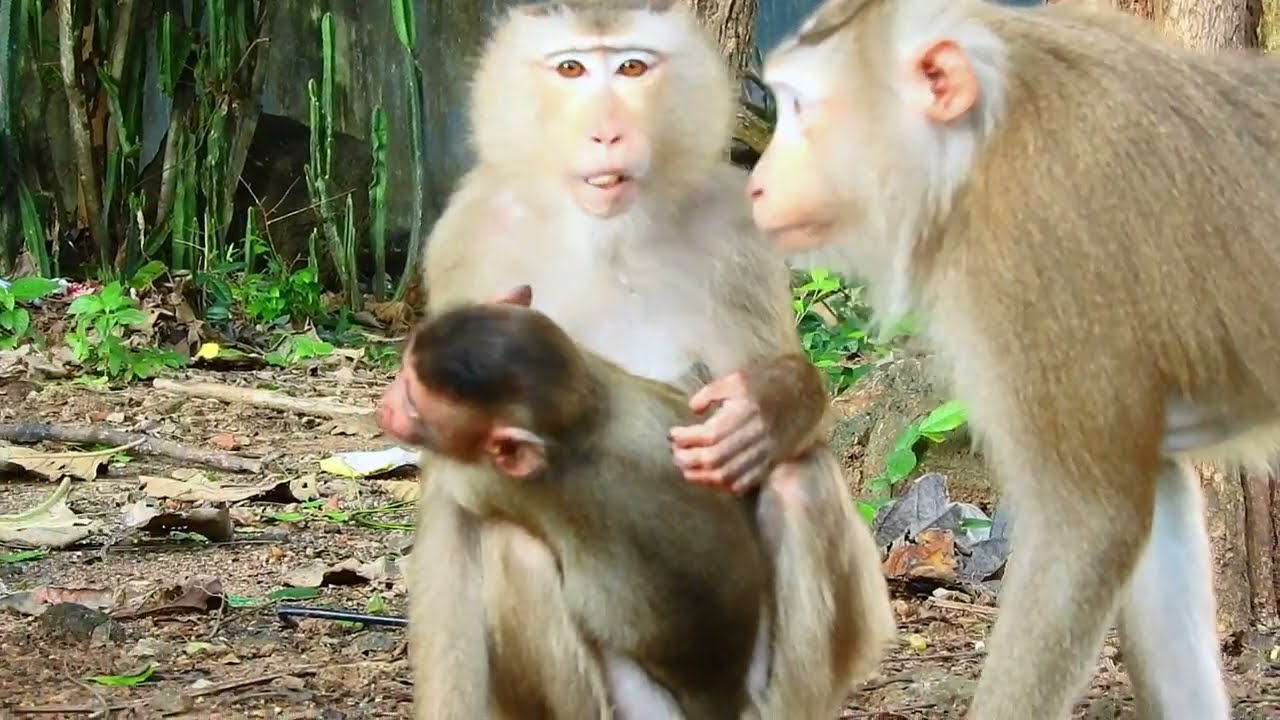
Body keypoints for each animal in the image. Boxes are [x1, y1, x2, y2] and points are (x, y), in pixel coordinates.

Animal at [384, 301, 774, 718]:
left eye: (413, 403)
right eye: (404, 376)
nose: (386, 403)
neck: (583, 422)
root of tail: (722, 698)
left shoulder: (498, 481)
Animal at [745, 0, 1280, 718]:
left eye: (801, 107)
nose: (755, 184)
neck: (983, 144)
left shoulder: (1031, 258)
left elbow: (1088, 524)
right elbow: (1152, 494)